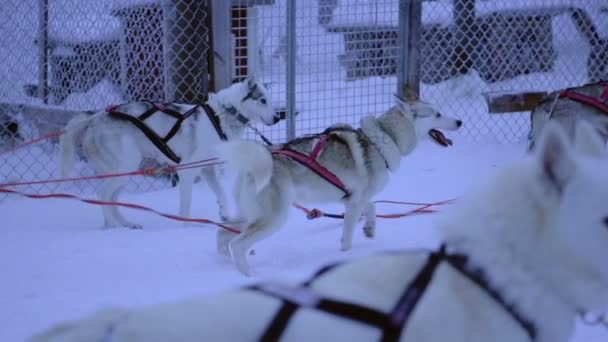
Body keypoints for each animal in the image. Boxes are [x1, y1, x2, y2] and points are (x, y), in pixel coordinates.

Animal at [59, 76, 278, 228]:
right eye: (263, 100)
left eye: (269, 99)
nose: (277, 118)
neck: (221, 114)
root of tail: (95, 118)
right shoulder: (187, 171)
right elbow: (186, 204)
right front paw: (186, 226)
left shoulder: (207, 169)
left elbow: (221, 193)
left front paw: (226, 214)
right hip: (126, 165)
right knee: (102, 193)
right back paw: (113, 225)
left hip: (123, 172)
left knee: (112, 198)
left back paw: (125, 224)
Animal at [216, 95, 458, 276]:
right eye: (437, 114)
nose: (459, 122)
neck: (383, 139)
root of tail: (258, 160)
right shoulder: (355, 202)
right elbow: (348, 235)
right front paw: (346, 255)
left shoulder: (354, 198)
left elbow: (373, 207)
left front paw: (370, 229)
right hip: (274, 218)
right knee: (238, 243)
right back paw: (248, 275)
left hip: (249, 215)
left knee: (222, 234)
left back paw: (226, 262)